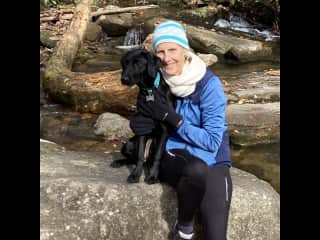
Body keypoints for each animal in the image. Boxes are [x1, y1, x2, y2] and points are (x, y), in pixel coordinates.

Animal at [110, 48, 175, 184]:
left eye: (138, 64)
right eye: (125, 63)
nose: (123, 79)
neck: (150, 90)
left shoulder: (164, 129)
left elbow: (157, 156)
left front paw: (153, 176)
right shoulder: (142, 126)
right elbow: (140, 155)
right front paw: (135, 175)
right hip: (128, 144)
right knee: (134, 158)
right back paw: (120, 161)